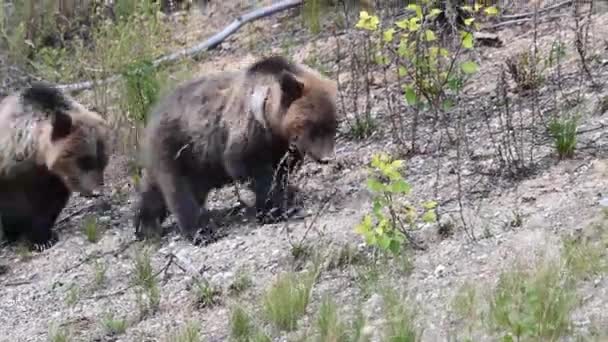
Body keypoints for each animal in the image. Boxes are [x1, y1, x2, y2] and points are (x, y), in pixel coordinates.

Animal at [0, 83, 110, 248]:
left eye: (103, 161)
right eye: (84, 160)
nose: (97, 192)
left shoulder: (54, 178)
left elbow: (49, 206)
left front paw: (43, 237)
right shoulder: (10, 172)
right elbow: (12, 204)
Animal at [134, 54, 340, 243]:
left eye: (332, 124)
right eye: (313, 126)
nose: (327, 157)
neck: (272, 123)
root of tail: (152, 115)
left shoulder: (281, 148)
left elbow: (281, 172)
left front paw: (289, 196)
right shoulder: (246, 135)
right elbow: (250, 169)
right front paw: (274, 209)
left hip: (197, 163)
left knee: (155, 191)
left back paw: (146, 226)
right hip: (178, 146)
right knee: (179, 191)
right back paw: (200, 230)